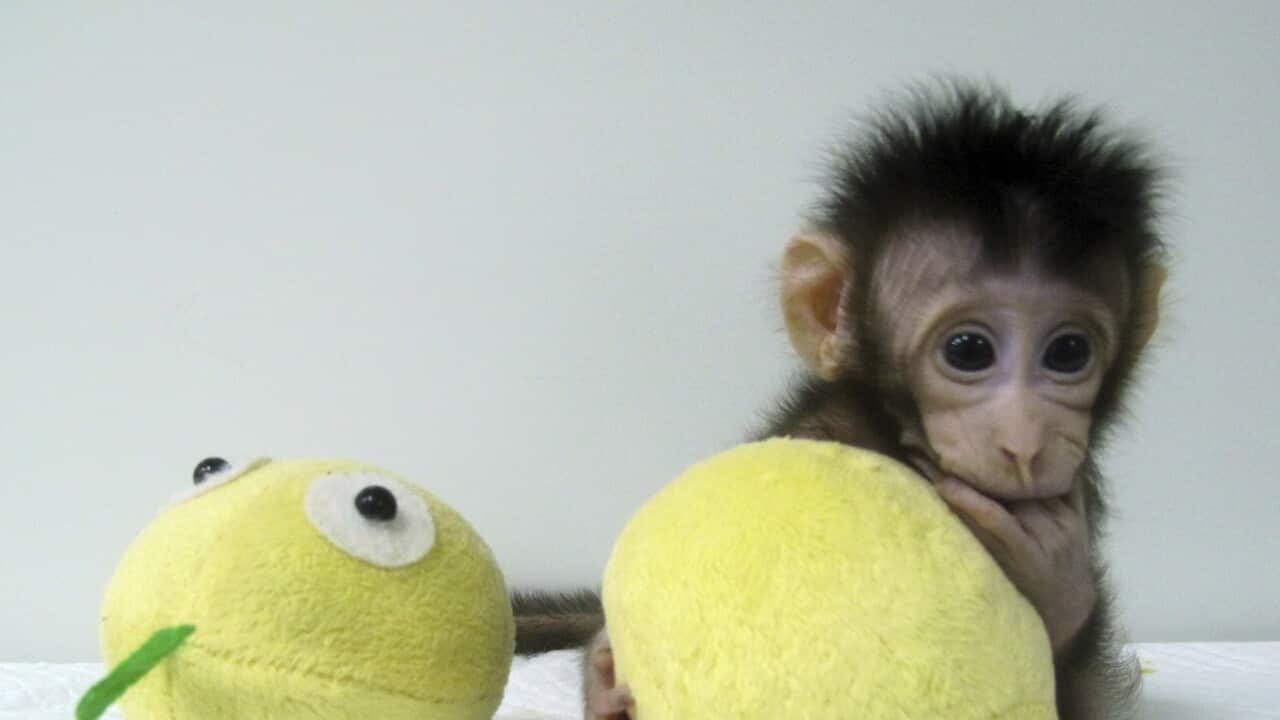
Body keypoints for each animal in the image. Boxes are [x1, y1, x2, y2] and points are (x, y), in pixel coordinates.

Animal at [513, 79, 1169, 720]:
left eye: (1068, 353)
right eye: (968, 351)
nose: (1026, 440)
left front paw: (1055, 571)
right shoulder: (820, 427)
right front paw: (603, 677)